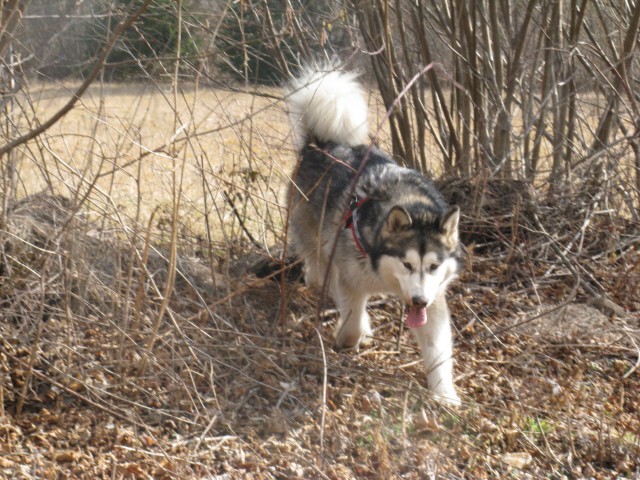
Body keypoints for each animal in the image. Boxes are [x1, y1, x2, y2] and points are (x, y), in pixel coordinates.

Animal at [288, 66, 462, 404]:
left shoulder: (435, 299)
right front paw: (349, 338)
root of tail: (319, 143)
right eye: (407, 264)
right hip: (320, 245)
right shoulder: (351, 278)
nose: (418, 301)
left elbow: (438, 350)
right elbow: (352, 317)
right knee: (322, 275)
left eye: (433, 266)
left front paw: (444, 394)